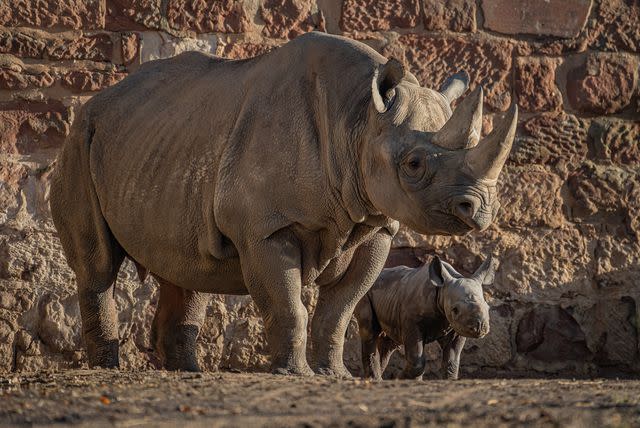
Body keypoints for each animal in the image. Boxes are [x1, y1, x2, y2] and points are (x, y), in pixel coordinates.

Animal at [356, 256, 496, 380]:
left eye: (488, 307)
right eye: (455, 310)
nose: (480, 327)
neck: (441, 289)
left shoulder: (455, 327)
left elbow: (452, 361)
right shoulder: (412, 322)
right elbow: (417, 360)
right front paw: (399, 379)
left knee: (389, 344)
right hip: (365, 293)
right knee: (370, 332)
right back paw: (375, 380)